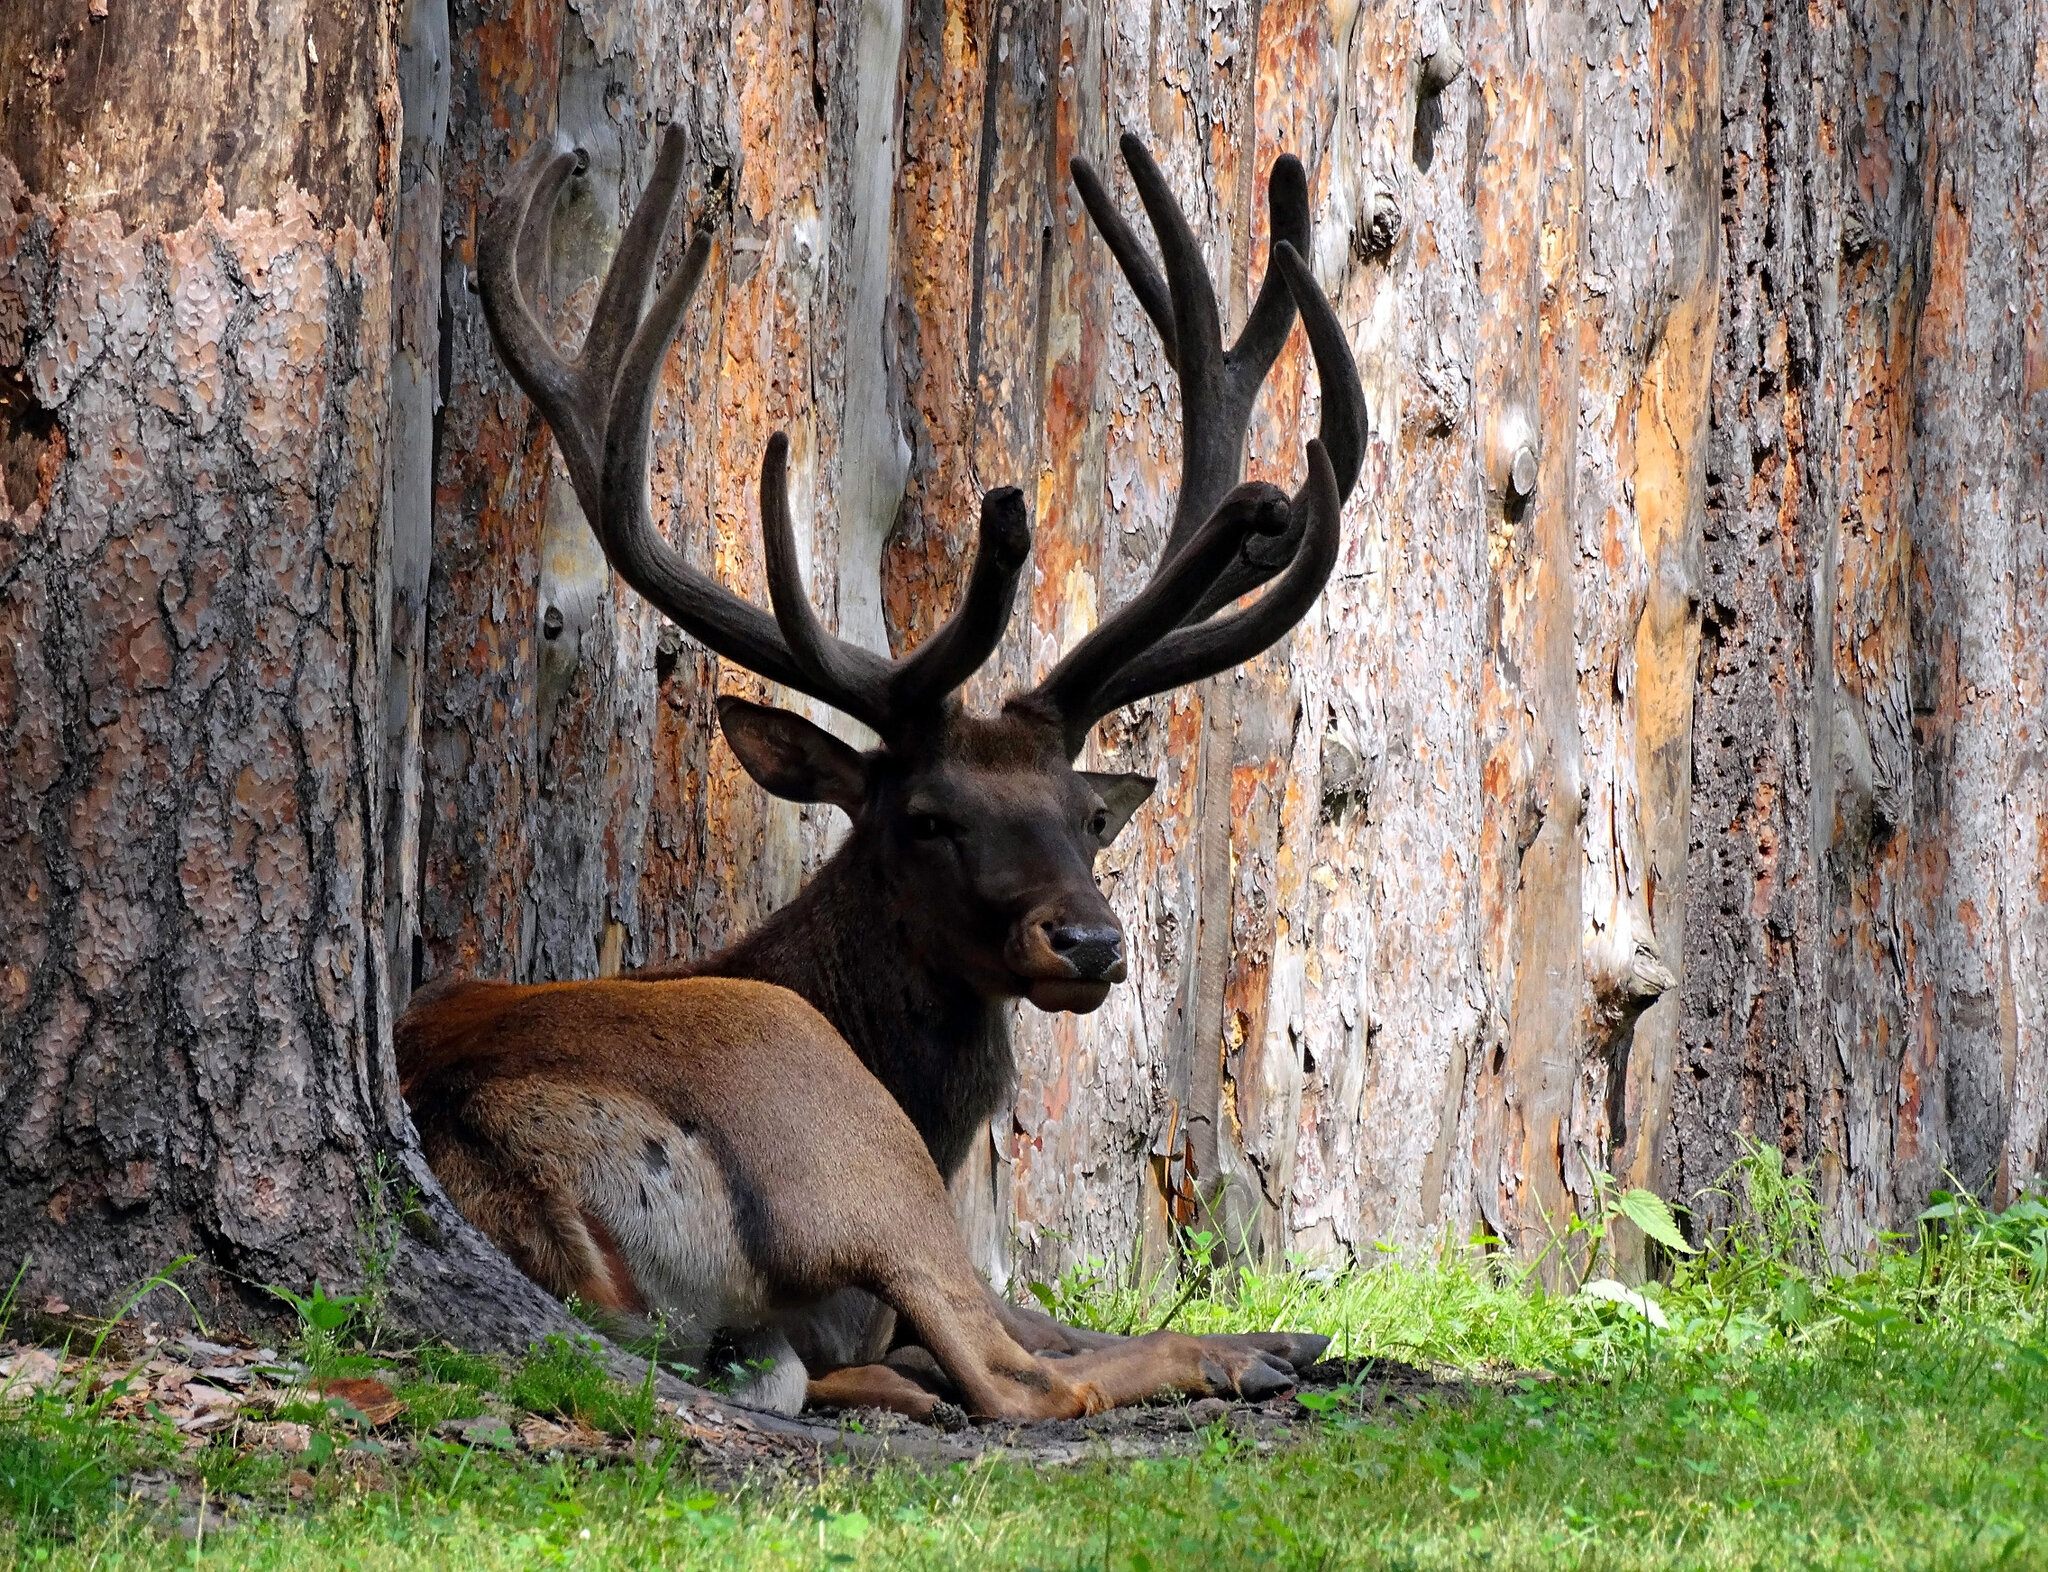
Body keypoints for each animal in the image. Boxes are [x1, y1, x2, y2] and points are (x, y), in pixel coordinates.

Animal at [397, 123, 1366, 1424]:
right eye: (926, 817)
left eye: (1084, 816)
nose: (1089, 943)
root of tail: (509, 1146)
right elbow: (1035, 1327)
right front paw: (1275, 1338)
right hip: (840, 1137)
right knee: (1008, 1379)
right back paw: (1242, 1355)